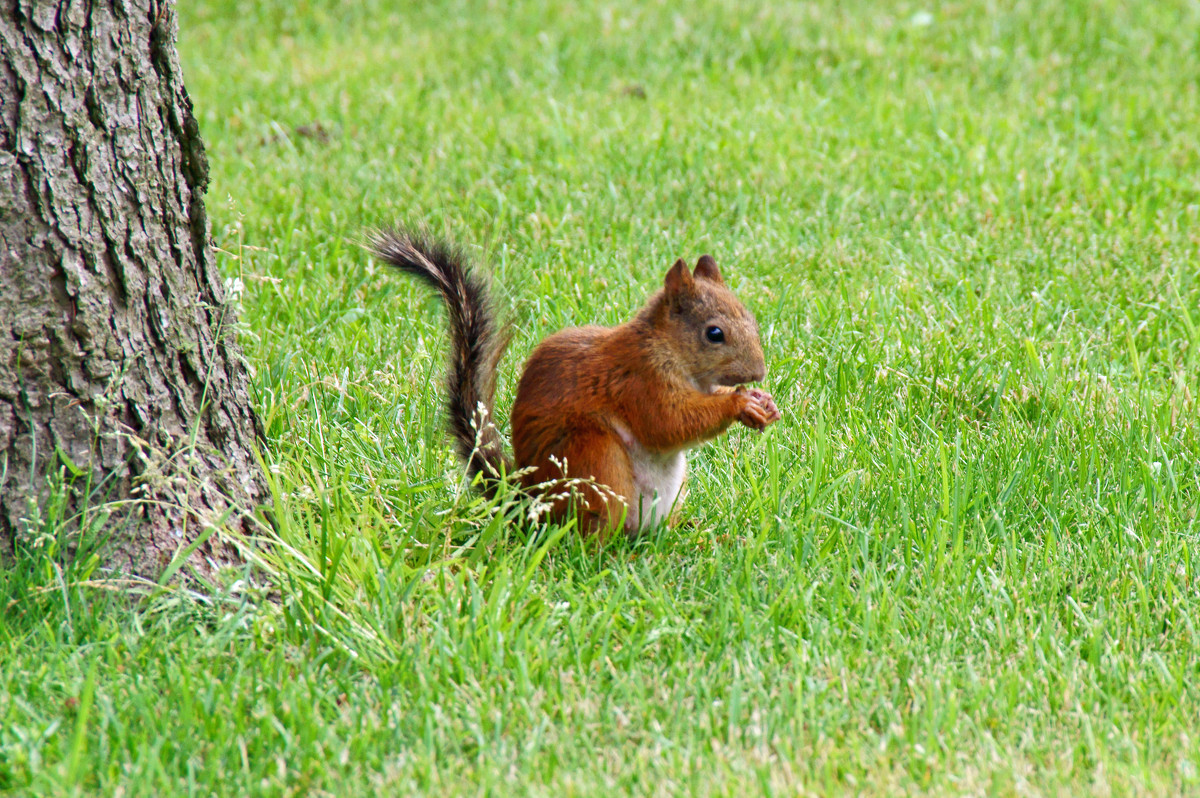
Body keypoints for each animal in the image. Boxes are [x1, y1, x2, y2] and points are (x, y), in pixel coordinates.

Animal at [374, 229, 787, 535]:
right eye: (714, 333)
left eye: (750, 318)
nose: (758, 372)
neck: (668, 350)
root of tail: (530, 503)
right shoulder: (638, 381)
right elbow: (667, 422)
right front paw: (739, 404)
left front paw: (761, 402)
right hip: (593, 457)